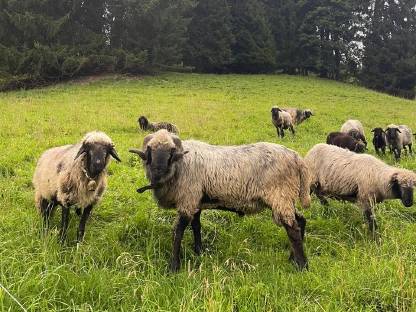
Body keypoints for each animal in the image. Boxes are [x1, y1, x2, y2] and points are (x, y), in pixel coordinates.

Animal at [128, 129, 310, 270]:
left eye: (170, 153)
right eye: (150, 151)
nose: (158, 174)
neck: (181, 165)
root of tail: (297, 158)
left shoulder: (187, 200)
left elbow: (177, 232)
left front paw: (174, 266)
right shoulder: (196, 201)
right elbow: (196, 226)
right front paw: (199, 251)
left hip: (280, 196)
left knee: (292, 228)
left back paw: (302, 266)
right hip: (286, 198)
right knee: (300, 221)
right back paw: (292, 258)